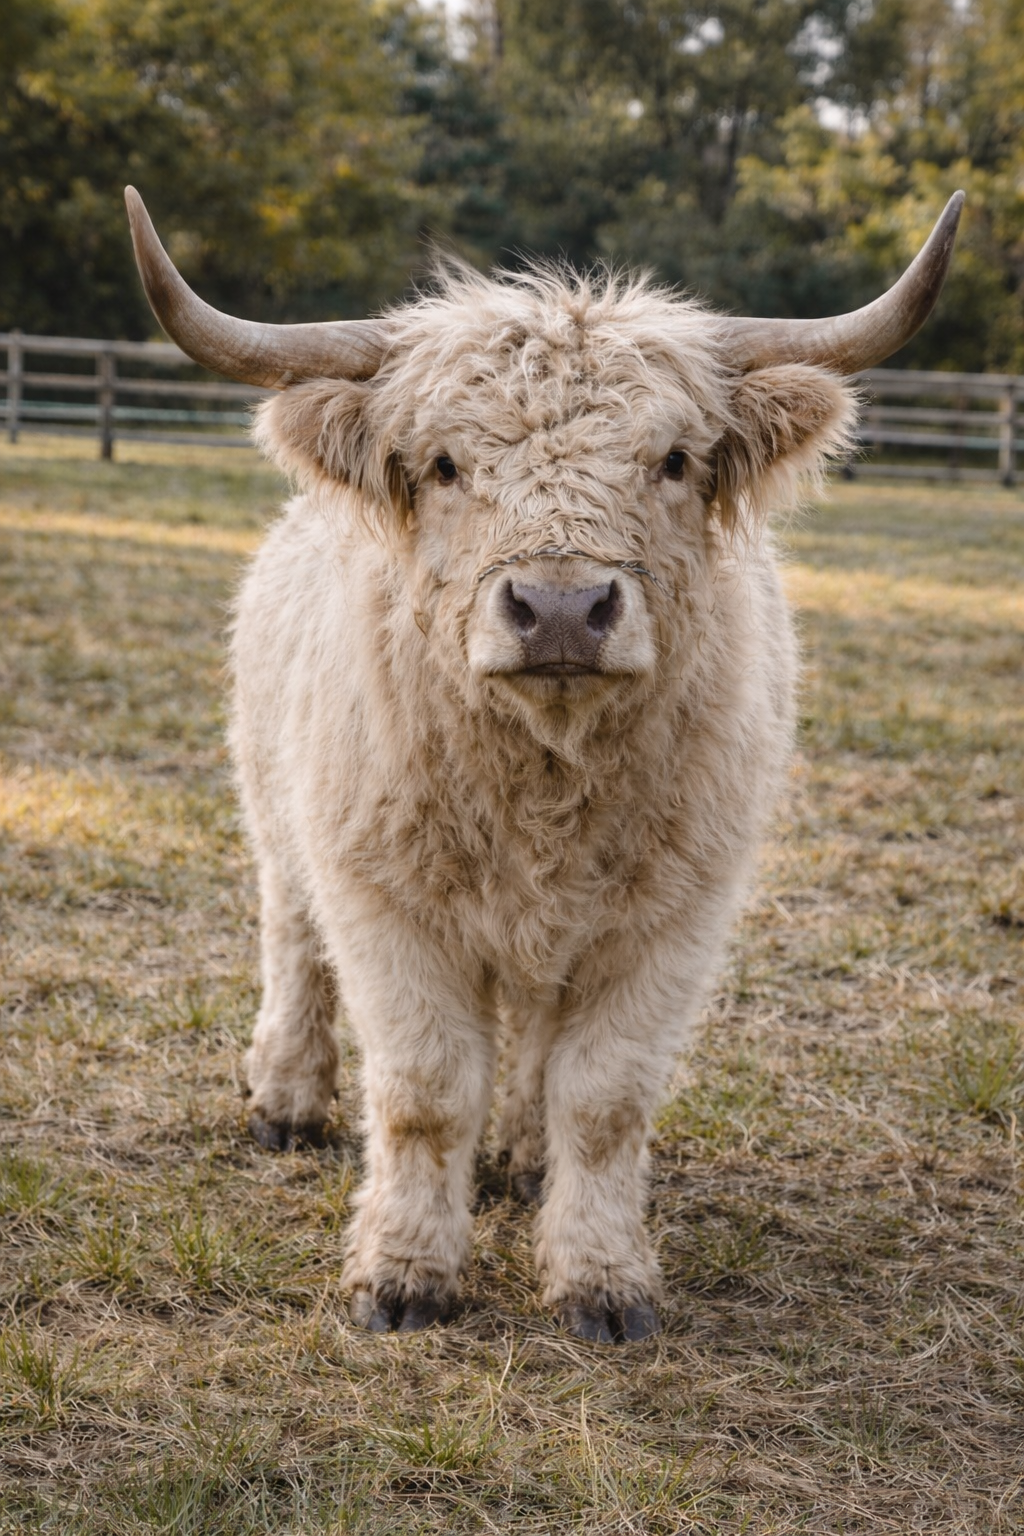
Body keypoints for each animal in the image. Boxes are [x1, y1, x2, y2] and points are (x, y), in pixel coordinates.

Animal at [125, 186, 962, 1340]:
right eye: (443, 465)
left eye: (673, 460)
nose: (561, 608)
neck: (545, 788)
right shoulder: (383, 901)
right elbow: (425, 1091)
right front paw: (403, 1274)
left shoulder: (672, 918)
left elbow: (601, 1097)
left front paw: (601, 1278)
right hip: (279, 815)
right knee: (291, 941)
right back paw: (286, 1101)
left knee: (532, 1038)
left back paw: (523, 1158)